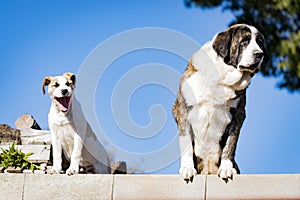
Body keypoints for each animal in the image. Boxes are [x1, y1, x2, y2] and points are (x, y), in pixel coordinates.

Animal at [173, 23, 270, 181]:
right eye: (244, 42)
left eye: (260, 43)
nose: (259, 54)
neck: (221, 78)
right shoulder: (183, 110)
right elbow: (186, 142)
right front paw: (187, 168)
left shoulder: (238, 115)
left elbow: (230, 144)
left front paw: (226, 168)